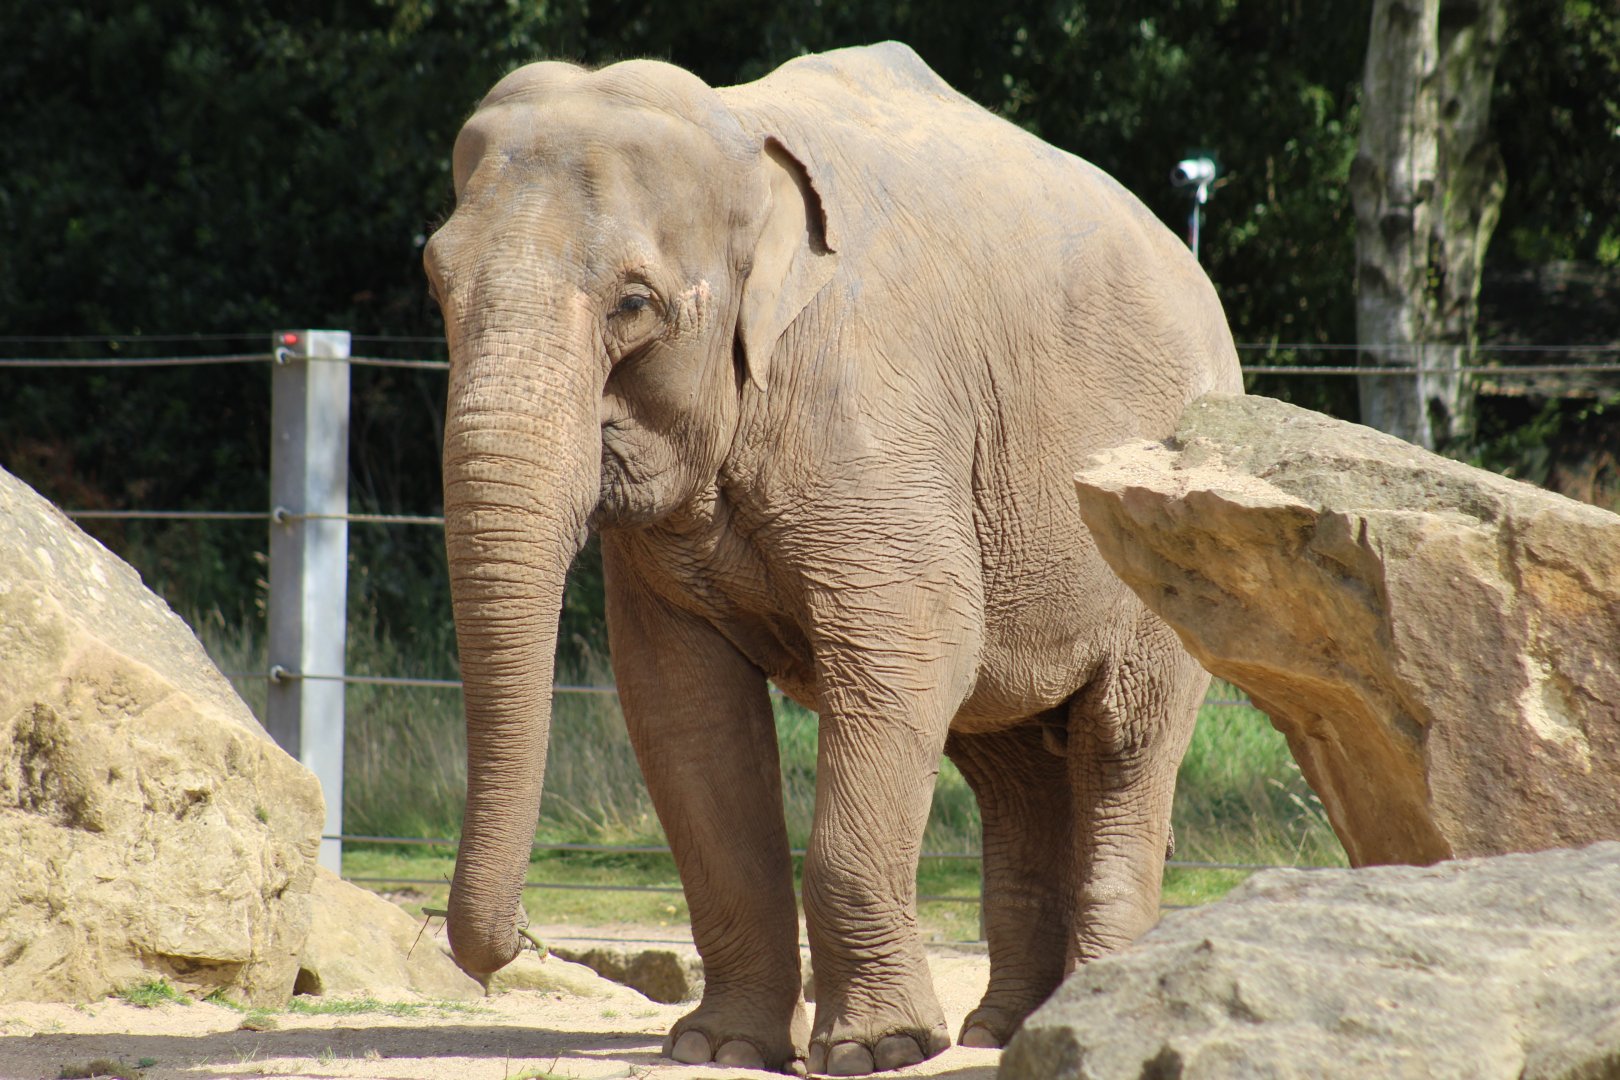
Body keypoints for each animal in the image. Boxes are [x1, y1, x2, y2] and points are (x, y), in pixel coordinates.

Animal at [425, 41, 1241, 1076]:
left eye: (635, 304)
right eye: (435, 284)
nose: (509, 948)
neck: (740, 135)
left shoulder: (876, 413)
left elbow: (911, 650)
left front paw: (879, 1051)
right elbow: (679, 702)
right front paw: (720, 1048)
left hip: (1164, 534)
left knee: (1123, 744)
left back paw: (1084, 1018)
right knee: (1011, 765)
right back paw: (1004, 1029)